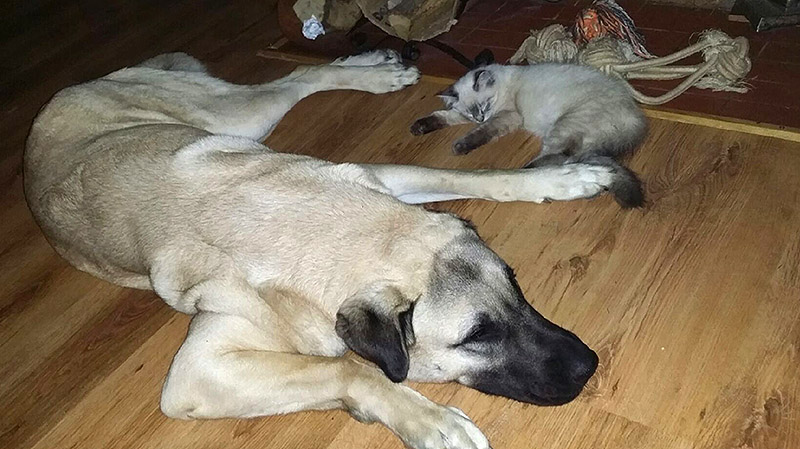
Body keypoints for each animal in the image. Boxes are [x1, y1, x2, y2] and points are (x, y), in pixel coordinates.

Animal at [24, 51, 620, 449]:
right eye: (477, 336)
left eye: (516, 285)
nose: (589, 366)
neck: (332, 228)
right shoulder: (197, 371)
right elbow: (350, 370)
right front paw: (430, 419)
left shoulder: (377, 179)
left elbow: (468, 176)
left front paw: (564, 178)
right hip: (233, 116)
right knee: (286, 81)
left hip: (236, 121)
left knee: (298, 77)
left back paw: (374, 68)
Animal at [410, 63, 647, 208]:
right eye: (471, 111)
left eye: (484, 104)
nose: (480, 117)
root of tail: (635, 119)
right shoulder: (469, 116)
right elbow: (445, 115)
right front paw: (418, 128)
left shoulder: (506, 116)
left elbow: (479, 133)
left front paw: (460, 147)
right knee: (572, 157)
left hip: (563, 127)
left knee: (560, 157)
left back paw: (531, 174)